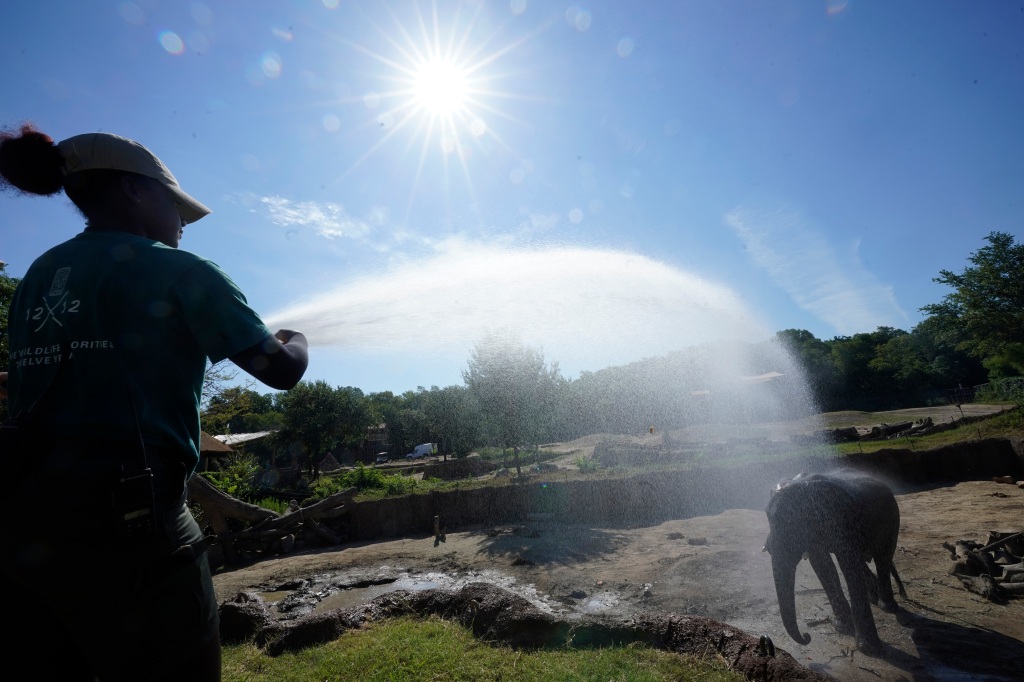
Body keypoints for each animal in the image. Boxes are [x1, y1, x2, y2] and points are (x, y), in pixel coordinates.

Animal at [765, 466, 901, 655]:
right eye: (768, 518)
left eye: (795, 523)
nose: (807, 636)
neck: (803, 484)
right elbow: (822, 565)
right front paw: (842, 627)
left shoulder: (841, 522)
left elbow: (848, 566)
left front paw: (869, 649)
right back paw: (874, 598)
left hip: (892, 521)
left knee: (883, 559)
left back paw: (887, 607)